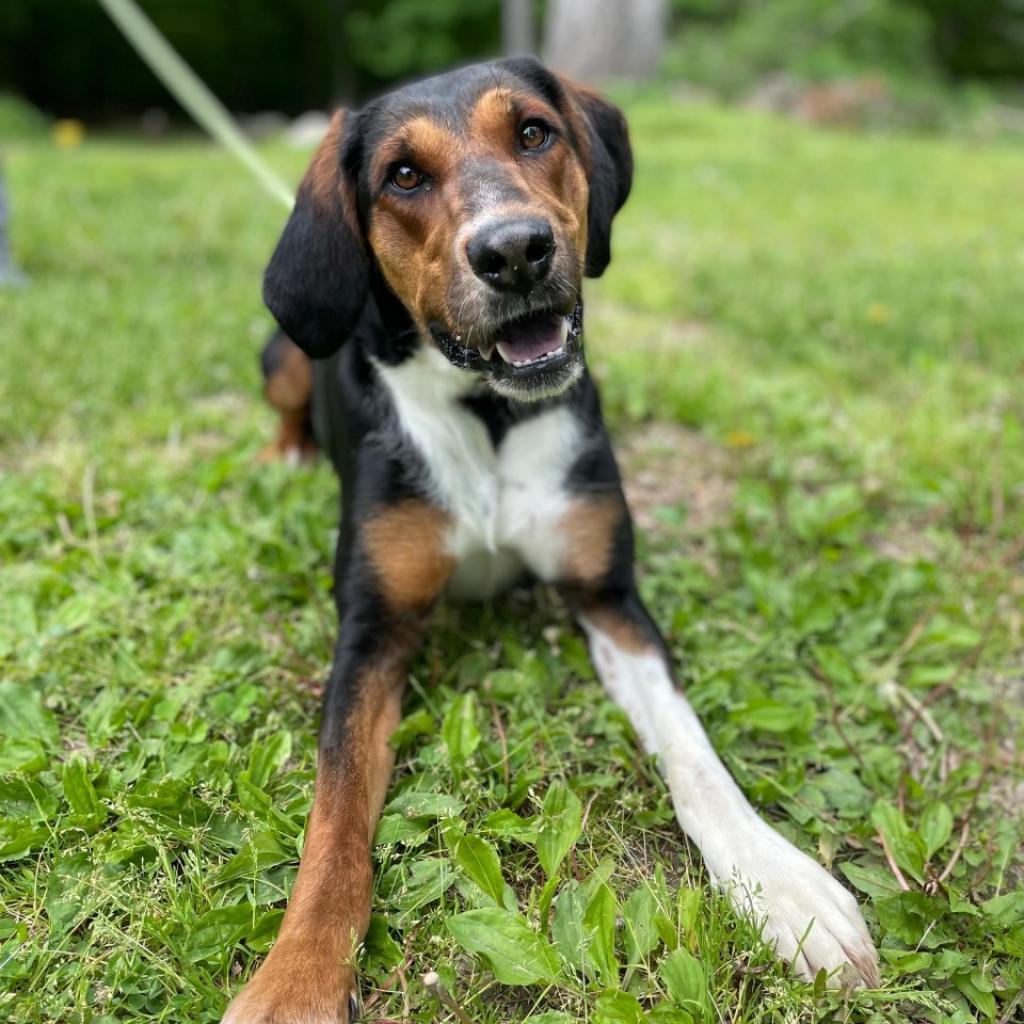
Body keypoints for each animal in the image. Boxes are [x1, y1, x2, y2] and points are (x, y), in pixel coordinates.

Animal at [224, 58, 880, 1024]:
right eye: (402, 176)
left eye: (534, 132)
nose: (514, 252)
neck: (489, 414)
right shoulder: (370, 630)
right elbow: (334, 821)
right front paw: (295, 979)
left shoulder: (608, 597)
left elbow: (694, 752)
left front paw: (780, 885)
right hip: (280, 351)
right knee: (284, 399)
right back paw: (284, 457)